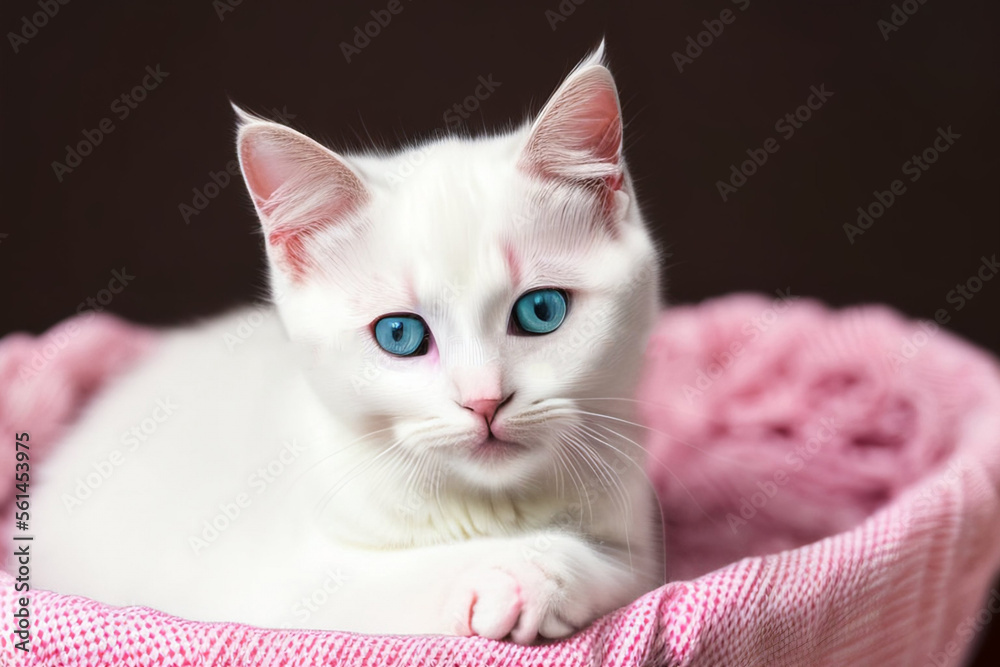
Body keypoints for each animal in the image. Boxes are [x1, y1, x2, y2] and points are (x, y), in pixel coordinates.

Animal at [27, 44, 664, 644]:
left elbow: (620, 567)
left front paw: (537, 569)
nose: (484, 401)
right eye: (400, 334)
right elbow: (366, 585)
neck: (489, 507)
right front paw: (500, 573)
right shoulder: (269, 590)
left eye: (541, 311)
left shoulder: (634, 535)